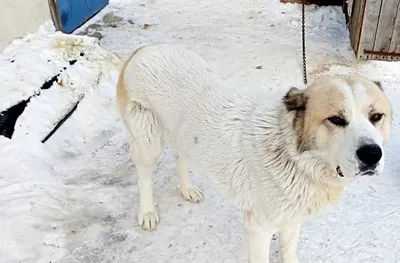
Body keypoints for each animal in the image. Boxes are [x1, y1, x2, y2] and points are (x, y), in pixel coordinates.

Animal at [115, 44, 390, 262]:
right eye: (336, 120)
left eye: (376, 117)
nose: (372, 155)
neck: (293, 155)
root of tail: (144, 49)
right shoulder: (259, 229)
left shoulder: (291, 220)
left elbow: (288, 252)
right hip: (147, 143)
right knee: (144, 178)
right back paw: (148, 212)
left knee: (180, 156)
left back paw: (187, 189)